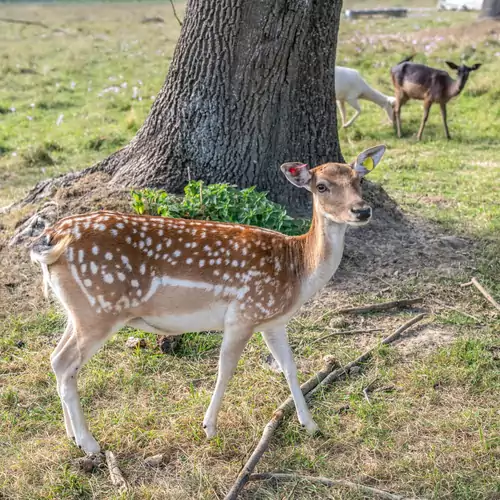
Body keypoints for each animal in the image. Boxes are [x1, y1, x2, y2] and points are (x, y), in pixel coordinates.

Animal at [30, 144, 386, 454]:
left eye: (359, 180)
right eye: (322, 186)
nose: (362, 210)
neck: (298, 271)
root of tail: (53, 237)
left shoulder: (272, 320)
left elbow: (290, 367)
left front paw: (310, 424)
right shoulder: (244, 312)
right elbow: (225, 368)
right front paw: (209, 427)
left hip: (79, 311)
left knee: (56, 360)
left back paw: (72, 436)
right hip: (99, 309)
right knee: (66, 362)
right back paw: (90, 444)